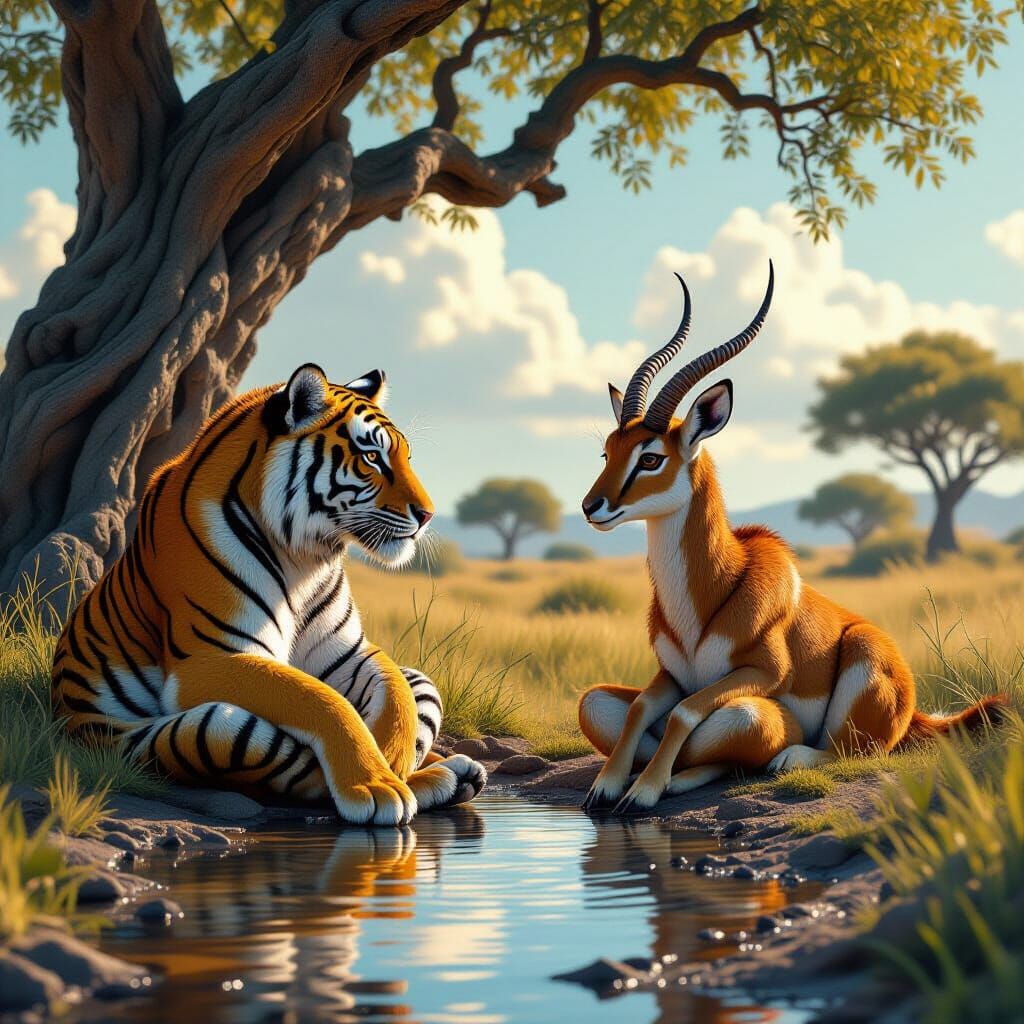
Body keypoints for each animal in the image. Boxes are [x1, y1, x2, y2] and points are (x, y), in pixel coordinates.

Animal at [51, 363, 486, 825]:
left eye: (405, 458)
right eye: (371, 457)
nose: (427, 515)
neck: (304, 557)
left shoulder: (348, 653)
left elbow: (394, 695)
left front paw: (391, 761)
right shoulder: (213, 658)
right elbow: (322, 701)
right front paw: (376, 784)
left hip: (423, 681)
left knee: (413, 686)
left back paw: (451, 771)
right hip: (204, 729)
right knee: (293, 767)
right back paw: (440, 779)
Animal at [578, 263, 1007, 814]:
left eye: (651, 457)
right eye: (608, 451)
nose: (592, 507)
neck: (705, 598)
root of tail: (913, 710)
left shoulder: (759, 674)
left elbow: (686, 713)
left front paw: (643, 790)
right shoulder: (671, 676)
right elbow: (632, 710)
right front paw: (609, 784)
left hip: (852, 683)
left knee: (832, 747)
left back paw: (779, 759)